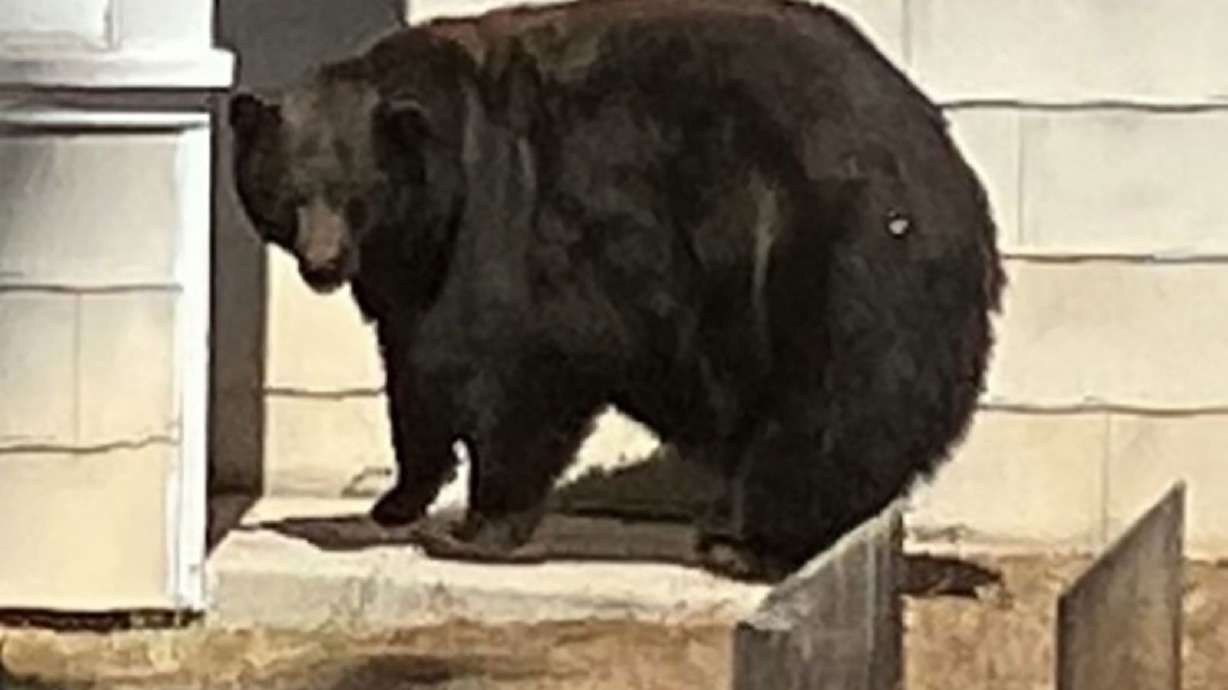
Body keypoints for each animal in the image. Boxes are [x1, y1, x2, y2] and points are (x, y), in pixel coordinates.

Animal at [228, 0, 1006, 582]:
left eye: (356, 194)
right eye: (290, 193)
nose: (323, 264)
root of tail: (951, 173)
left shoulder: (519, 219)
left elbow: (521, 365)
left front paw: (476, 526)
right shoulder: (412, 272)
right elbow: (416, 371)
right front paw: (396, 500)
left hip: (827, 257)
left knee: (830, 405)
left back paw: (746, 541)